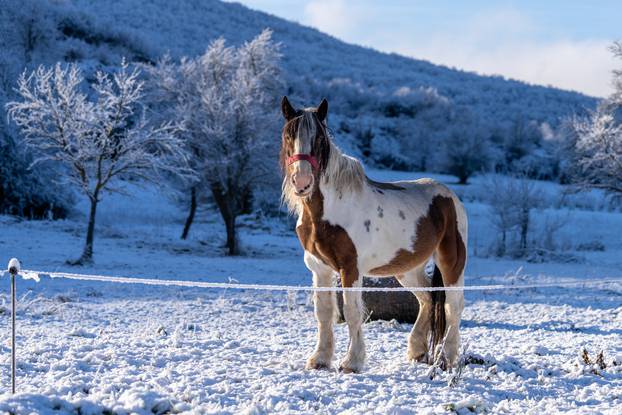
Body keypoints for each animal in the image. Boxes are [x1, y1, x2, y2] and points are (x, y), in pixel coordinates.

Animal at [280, 97, 468, 374]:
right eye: (288, 135)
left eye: (320, 139)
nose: (302, 182)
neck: (328, 210)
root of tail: (450, 197)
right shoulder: (319, 269)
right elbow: (324, 312)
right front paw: (320, 359)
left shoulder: (350, 269)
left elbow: (352, 311)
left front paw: (352, 362)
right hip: (407, 269)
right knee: (427, 299)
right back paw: (417, 350)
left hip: (451, 263)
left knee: (453, 306)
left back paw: (446, 358)